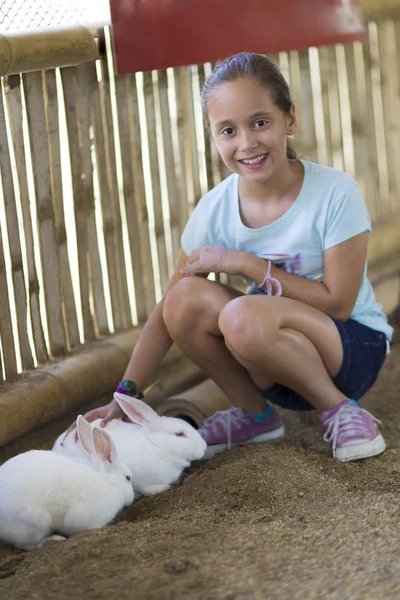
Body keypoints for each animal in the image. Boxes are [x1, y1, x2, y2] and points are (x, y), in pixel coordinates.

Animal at [0, 418, 134, 548]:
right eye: (128, 478)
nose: (132, 499)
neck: (108, 481)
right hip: (36, 523)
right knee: (26, 545)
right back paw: (54, 539)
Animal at [52, 390, 206, 496]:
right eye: (180, 434)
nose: (204, 447)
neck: (156, 447)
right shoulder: (135, 477)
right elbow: (143, 487)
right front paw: (161, 488)